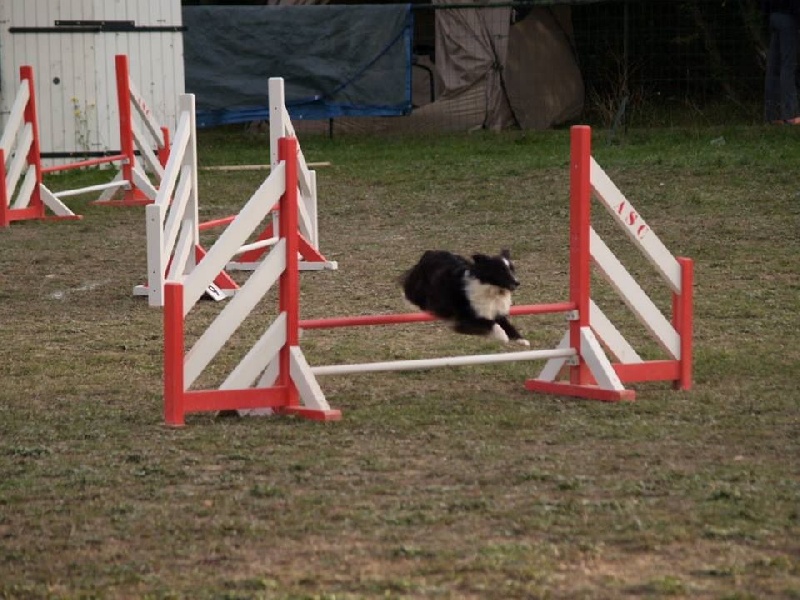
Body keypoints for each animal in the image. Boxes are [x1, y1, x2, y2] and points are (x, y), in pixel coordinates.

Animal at [400, 250, 532, 344]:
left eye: (512, 269)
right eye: (501, 270)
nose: (517, 282)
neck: (491, 290)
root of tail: (429, 253)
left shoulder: (496, 312)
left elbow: (507, 325)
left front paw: (521, 340)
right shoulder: (464, 318)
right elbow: (491, 324)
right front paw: (502, 336)